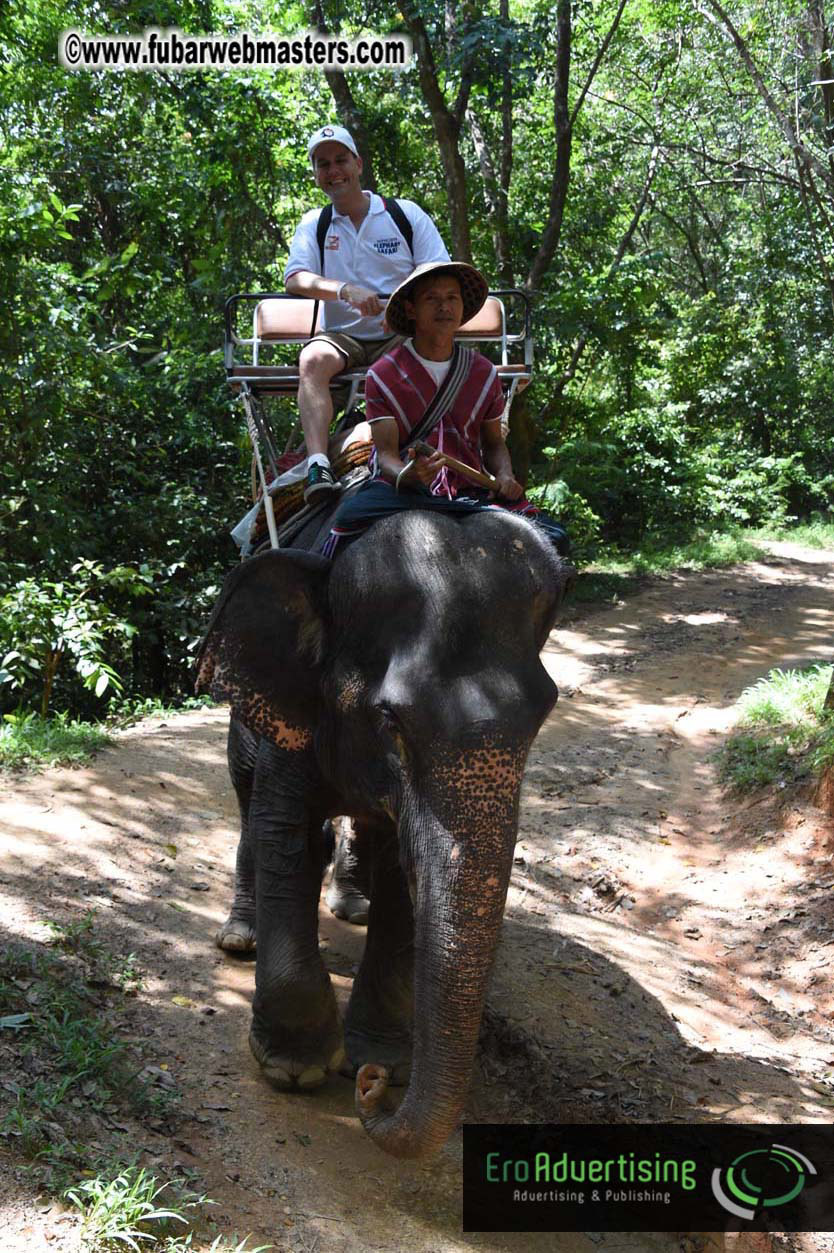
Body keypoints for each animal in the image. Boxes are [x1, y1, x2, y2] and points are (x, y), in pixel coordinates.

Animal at [196, 506, 571, 1160]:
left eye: (542, 718)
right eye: (390, 721)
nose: (369, 1091)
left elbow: (402, 866)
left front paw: (381, 1062)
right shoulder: (297, 703)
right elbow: (287, 838)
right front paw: (295, 1069)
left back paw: (353, 905)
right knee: (245, 795)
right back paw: (241, 937)